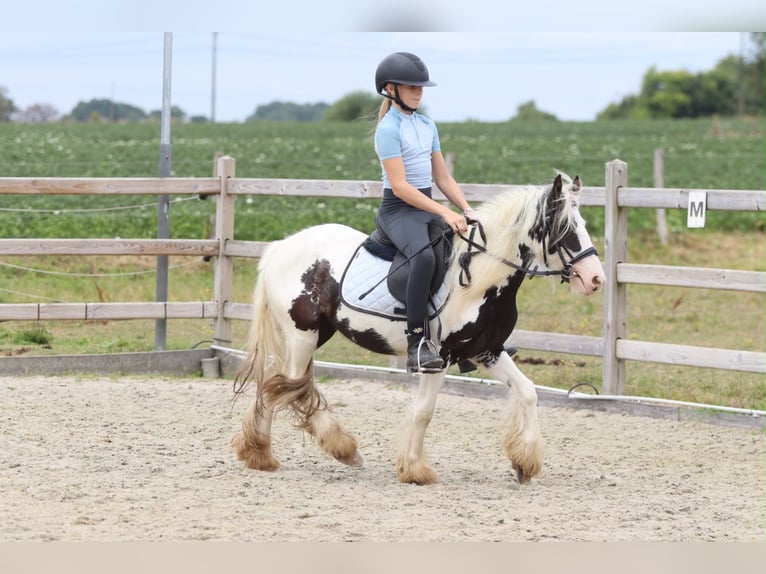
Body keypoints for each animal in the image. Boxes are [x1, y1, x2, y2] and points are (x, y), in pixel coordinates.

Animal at [231, 173, 606, 485]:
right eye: (566, 228)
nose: (595, 279)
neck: (479, 280)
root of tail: (280, 247)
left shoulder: (488, 351)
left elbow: (528, 392)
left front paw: (524, 463)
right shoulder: (439, 357)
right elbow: (424, 411)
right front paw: (415, 469)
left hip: (315, 335)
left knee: (277, 384)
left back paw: (265, 453)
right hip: (302, 335)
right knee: (286, 386)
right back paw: (328, 450)